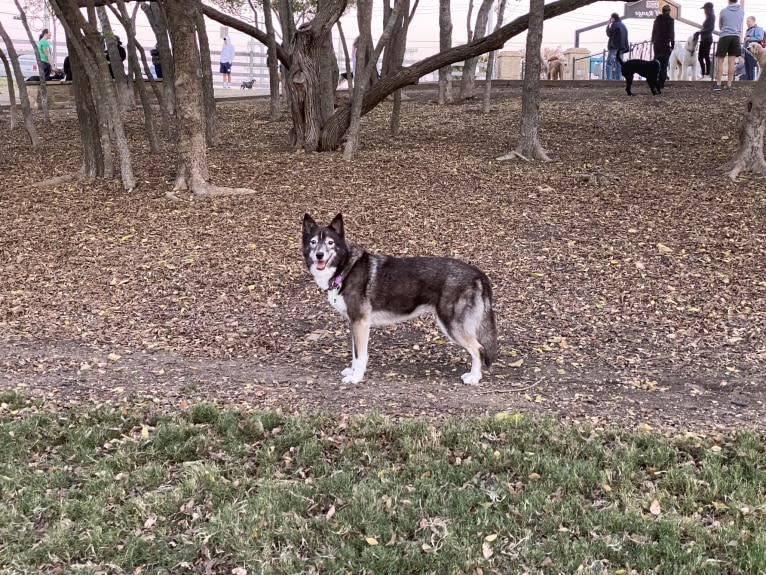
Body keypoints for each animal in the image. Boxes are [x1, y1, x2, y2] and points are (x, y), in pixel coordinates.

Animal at [304, 214, 500, 384]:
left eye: (330, 243)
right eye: (313, 242)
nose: (319, 255)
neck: (345, 267)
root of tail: (477, 273)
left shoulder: (360, 322)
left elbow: (360, 356)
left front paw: (356, 378)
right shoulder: (354, 323)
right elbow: (355, 354)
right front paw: (352, 372)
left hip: (452, 325)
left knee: (478, 349)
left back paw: (474, 378)